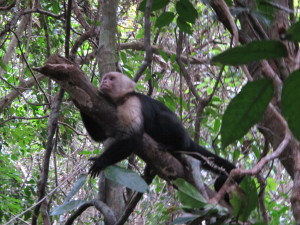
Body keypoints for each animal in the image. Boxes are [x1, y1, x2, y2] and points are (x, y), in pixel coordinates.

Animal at [81, 71, 240, 192]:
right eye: (105, 78)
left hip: (181, 137)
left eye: (112, 78)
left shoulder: (132, 103)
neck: (122, 99)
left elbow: (133, 138)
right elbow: (102, 135)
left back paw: (173, 147)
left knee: (164, 119)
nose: (104, 82)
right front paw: (80, 98)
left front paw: (100, 162)